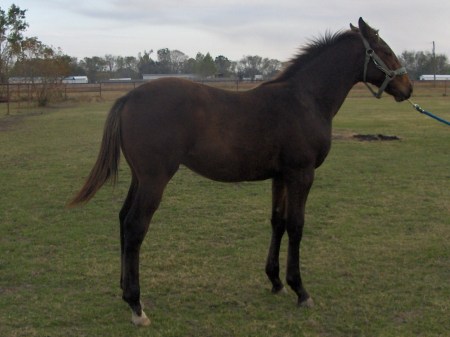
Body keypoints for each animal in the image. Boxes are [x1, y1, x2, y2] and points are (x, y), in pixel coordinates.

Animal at [69, 19, 412, 326]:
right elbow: (297, 226)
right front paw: (300, 290)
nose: (407, 88)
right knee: (135, 227)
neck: (305, 99)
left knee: (123, 220)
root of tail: (129, 97)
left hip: (141, 178)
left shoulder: (280, 176)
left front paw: (276, 281)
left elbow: (278, 222)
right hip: (155, 180)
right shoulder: (301, 174)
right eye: (385, 50)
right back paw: (137, 306)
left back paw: (125, 291)